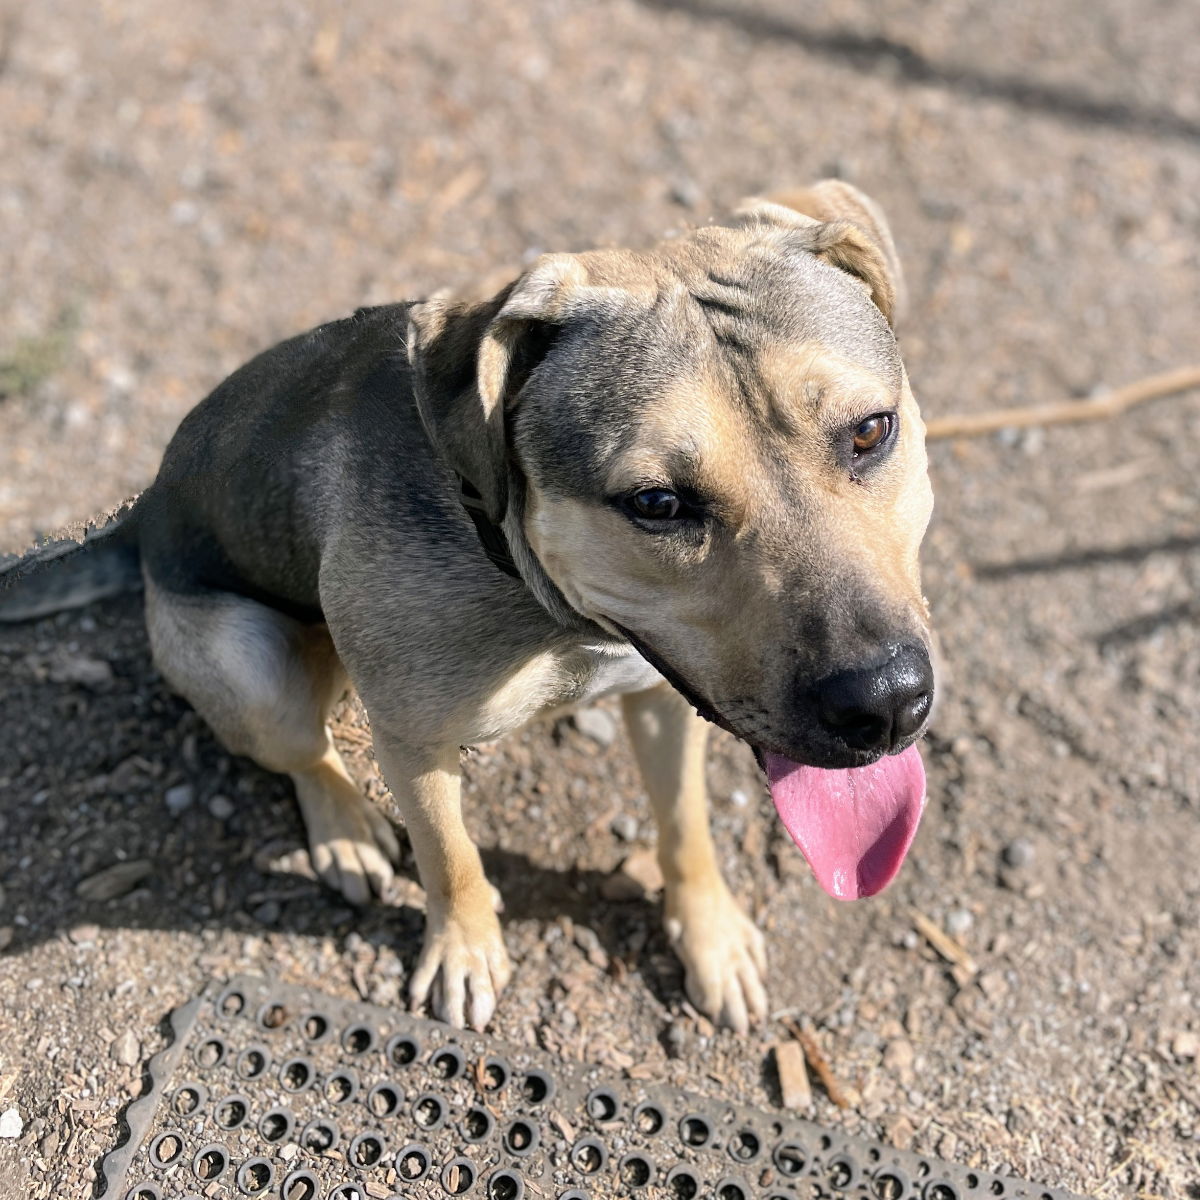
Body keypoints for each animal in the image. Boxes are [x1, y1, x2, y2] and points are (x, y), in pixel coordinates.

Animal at [0, 177, 936, 1032]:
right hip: (246, 666)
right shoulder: (414, 740)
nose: (886, 704)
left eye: (870, 431)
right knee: (303, 749)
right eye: (657, 503)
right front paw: (464, 954)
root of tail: (144, 510)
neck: (550, 610)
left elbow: (685, 826)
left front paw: (709, 936)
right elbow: (450, 858)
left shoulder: (660, 697)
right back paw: (344, 827)